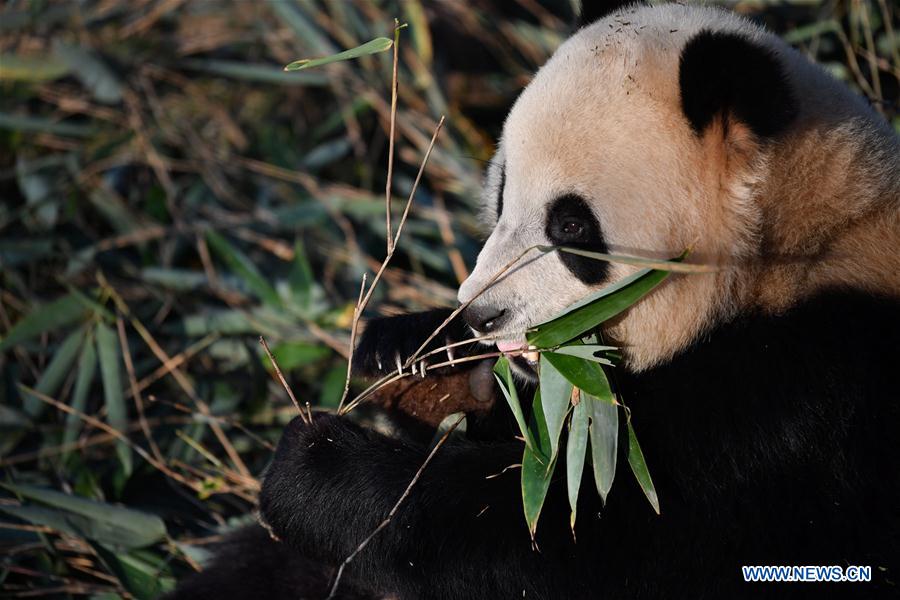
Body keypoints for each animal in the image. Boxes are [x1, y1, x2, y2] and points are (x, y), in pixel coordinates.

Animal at [169, 1, 900, 600]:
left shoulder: (800, 399)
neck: (798, 248)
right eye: (500, 195)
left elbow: (574, 531)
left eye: (570, 227)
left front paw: (314, 466)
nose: (481, 315)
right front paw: (403, 356)